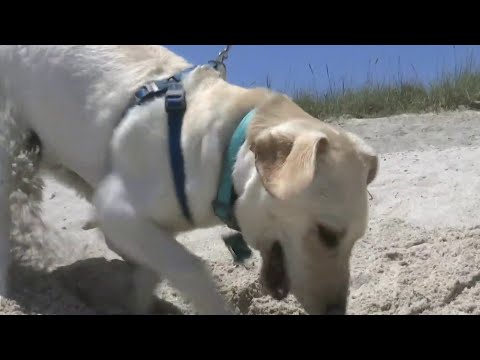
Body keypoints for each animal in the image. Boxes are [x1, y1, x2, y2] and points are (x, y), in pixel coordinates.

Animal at [0, 45, 376, 316]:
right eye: (328, 234)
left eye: (356, 239)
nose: (336, 311)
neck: (227, 148)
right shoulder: (117, 208)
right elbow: (192, 269)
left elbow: (149, 274)